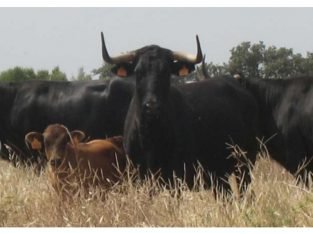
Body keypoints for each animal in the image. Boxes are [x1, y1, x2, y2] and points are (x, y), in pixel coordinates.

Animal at [100, 32, 258, 195]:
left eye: (166, 72)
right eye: (138, 72)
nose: (152, 106)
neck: (150, 137)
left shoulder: (176, 179)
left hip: (245, 163)